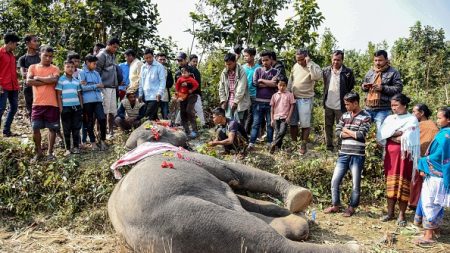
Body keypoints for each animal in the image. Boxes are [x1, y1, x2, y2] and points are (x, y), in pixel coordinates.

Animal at [109, 123, 358, 253]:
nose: (179, 126)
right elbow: (234, 173)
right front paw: (300, 196)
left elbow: (237, 191)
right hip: (198, 221)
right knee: (272, 243)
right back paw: (351, 248)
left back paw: (300, 225)